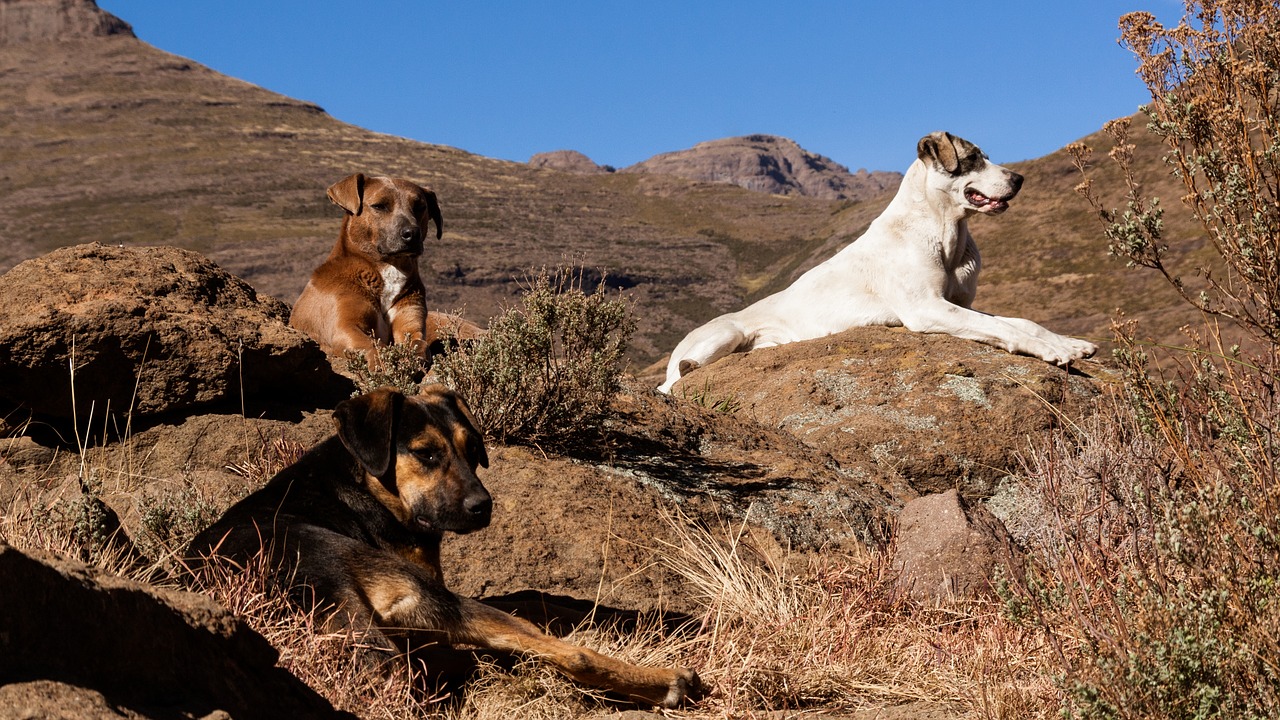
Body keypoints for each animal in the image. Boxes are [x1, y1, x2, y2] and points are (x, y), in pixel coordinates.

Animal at [186, 386, 701, 707]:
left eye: (473, 449)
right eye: (426, 453)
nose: (483, 507)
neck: (366, 485)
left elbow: (538, 596)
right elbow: (536, 610)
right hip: (421, 602)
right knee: (563, 651)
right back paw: (667, 682)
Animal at [290, 172, 445, 361]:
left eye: (420, 207)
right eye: (379, 206)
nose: (413, 233)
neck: (388, 268)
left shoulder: (411, 323)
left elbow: (419, 345)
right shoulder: (345, 327)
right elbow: (374, 346)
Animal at [660, 130, 1100, 392]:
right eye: (973, 158)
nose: (1020, 179)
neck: (944, 231)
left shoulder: (957, 304)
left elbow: (1020, 321)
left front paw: (1071, 343)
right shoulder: (927, 309)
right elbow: (1005, 330)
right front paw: (1051, 352)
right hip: (724, 335)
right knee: (672, 384)